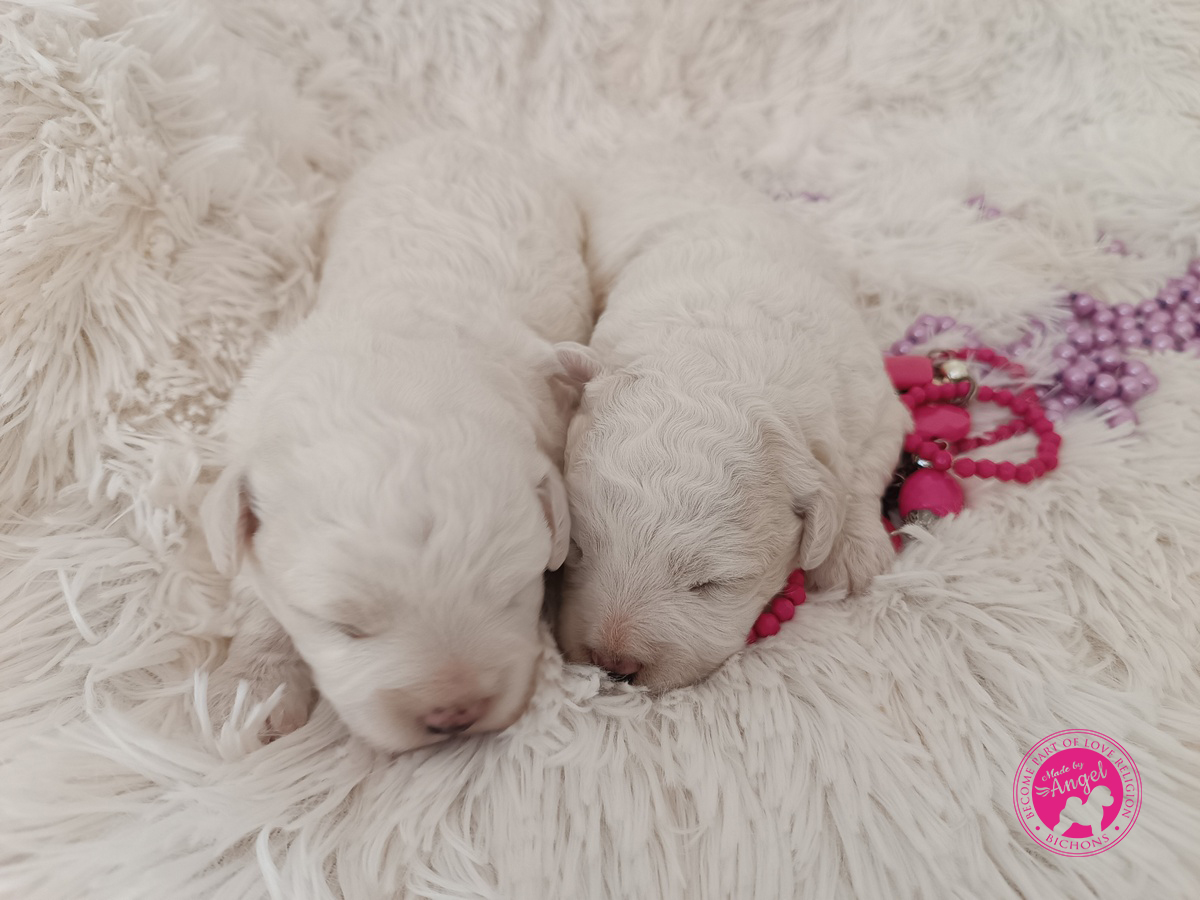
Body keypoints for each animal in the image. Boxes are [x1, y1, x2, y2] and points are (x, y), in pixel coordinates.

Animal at [201, 133, 592, 752]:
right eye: (345, 626)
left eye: (512, 592)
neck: (391, 374)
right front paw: (249, 692)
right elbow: (259, 598)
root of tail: (454, 137)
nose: (455, 714)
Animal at [552, 148, 910, 691]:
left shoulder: (874, 403)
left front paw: (851, 552)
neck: (717, 358)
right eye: (577, 551)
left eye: (712, 583)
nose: (615, 664)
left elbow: (862, 471)